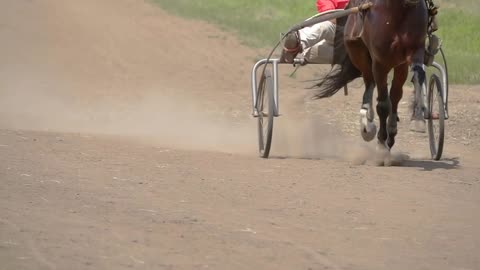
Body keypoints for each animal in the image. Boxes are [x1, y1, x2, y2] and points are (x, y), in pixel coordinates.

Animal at [316, 0, 428, 165]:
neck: (399, 11)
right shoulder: (379, 62)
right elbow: (383, 105)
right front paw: (381, 147)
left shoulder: (414, 51)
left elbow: (418, 77)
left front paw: (418, 119)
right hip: (359, 53)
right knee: (370, 84)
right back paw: (367, 123)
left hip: (398, 65)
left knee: (395, 95)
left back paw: (390, 131)